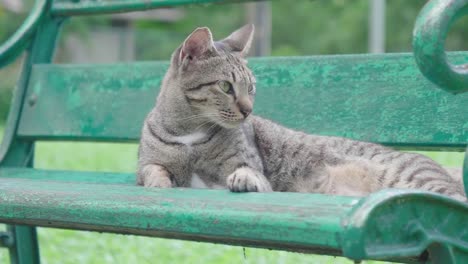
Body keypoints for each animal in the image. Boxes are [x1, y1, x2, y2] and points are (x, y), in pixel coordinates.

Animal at [135, 24, 464, 201]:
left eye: (251, 88)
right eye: (226, 87)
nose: (248, 110)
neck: (189, 133)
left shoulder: (247, 166)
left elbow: (247, 171)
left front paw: (243, 179)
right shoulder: (146, 165)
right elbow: (153, 170)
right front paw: (160, 182)